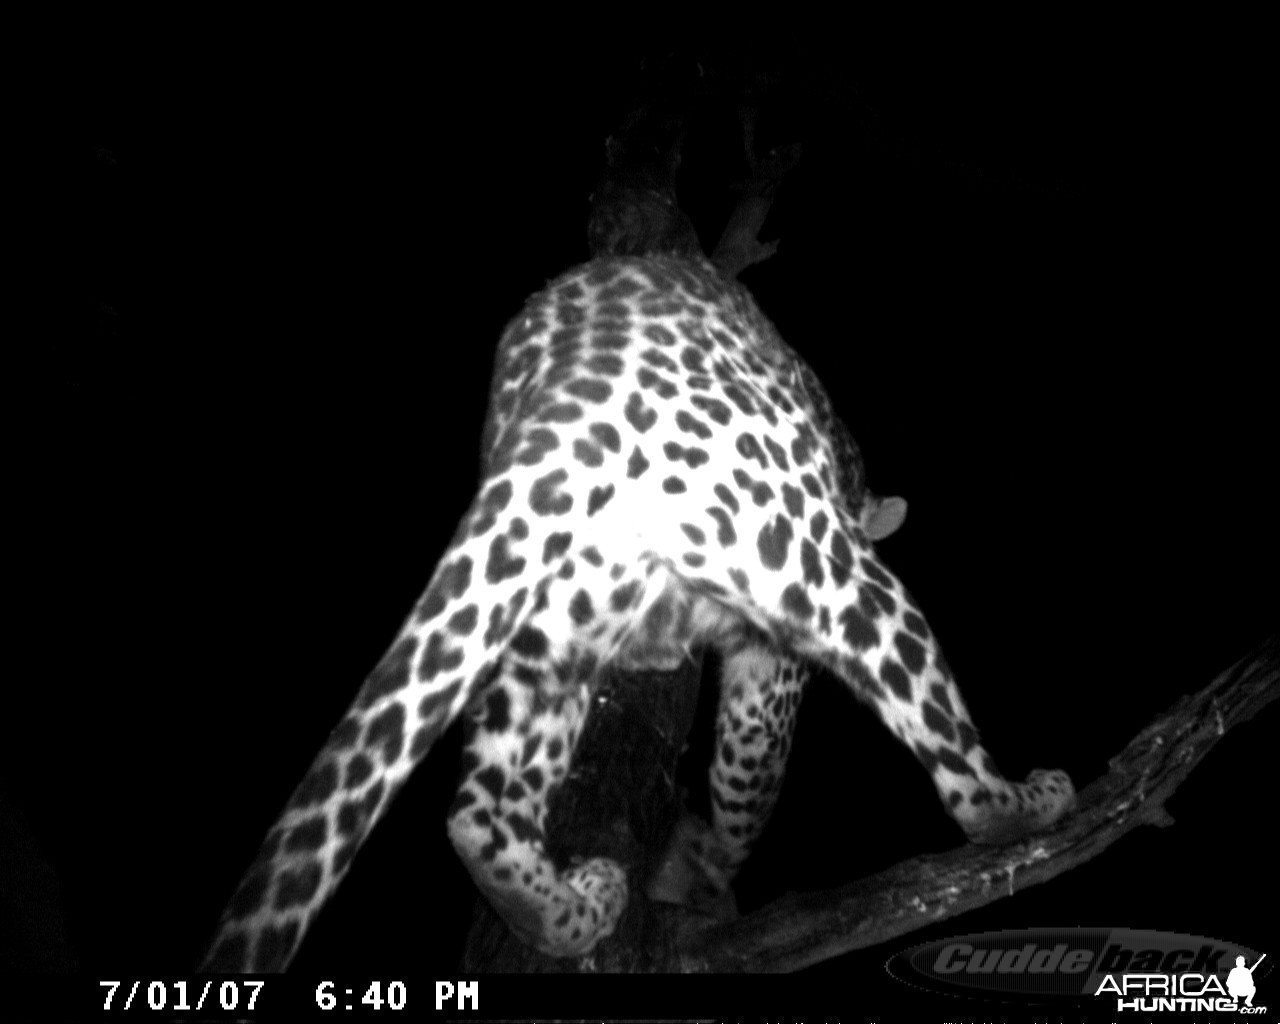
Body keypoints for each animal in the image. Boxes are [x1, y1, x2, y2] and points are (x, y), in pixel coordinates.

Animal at [199, 252, 1075, 972]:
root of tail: (575, 377)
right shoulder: (772, 667)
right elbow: (747, 782)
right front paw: (708, 874)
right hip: (812, 554)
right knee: (959, 777)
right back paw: (1031, 799)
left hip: (549, 613)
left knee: (479, 817)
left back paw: (581, 905)